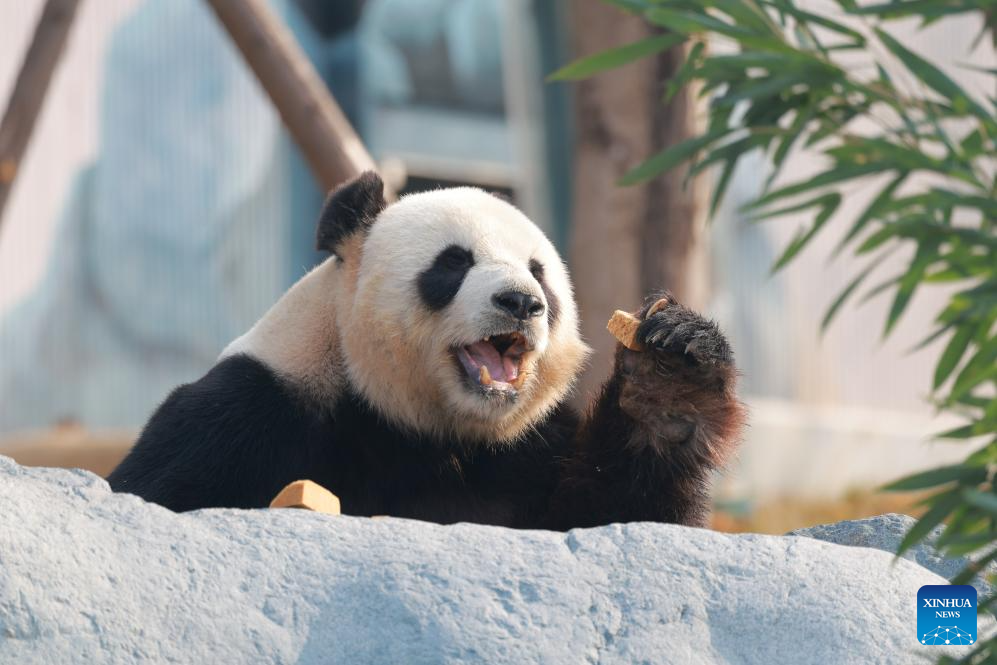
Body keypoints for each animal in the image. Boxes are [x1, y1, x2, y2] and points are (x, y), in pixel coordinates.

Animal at [108, 172, 745, 529]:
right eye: (453, 263)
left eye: (539, 273)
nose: (521, 302)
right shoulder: (250, 412)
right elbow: (158, 491)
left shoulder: (530, 448)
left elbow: (618, 516)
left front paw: (671, 377)